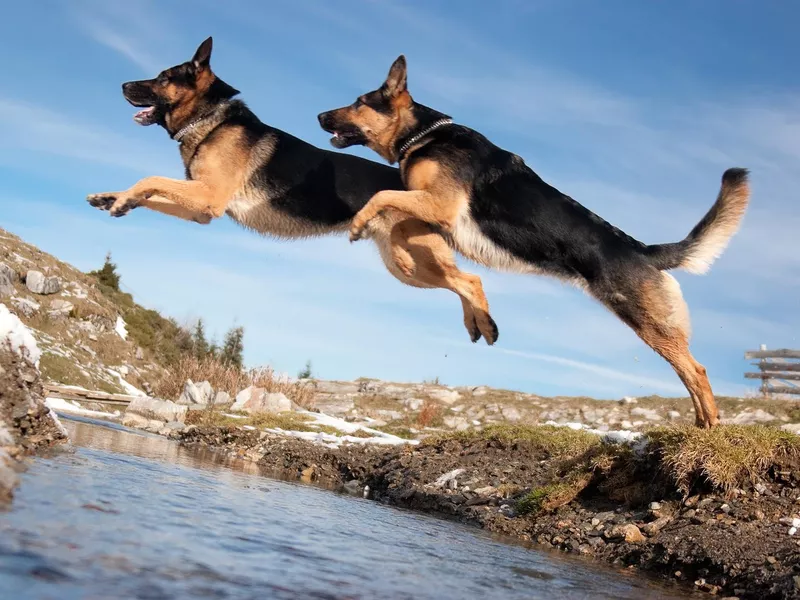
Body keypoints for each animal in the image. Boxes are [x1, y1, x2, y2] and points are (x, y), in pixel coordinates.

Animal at [87, 37, 500, 344]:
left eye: (161, 77)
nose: (122, 85)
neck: (211, 120)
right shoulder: (199, 207)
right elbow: (151, 192)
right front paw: (114, 199)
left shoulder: (209, 195)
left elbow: (149, 180)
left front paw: (122, 199)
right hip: (407, 268)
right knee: (460, 283)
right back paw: (476, 324)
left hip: (419, 259)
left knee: (470, 280)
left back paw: (485, 323)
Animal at [318, 52, 752, 426]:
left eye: (359, 101)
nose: (319, 114)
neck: (423, 135)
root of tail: (644, 251)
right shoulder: (436, 216)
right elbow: (401, 228)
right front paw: (423, 273)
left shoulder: (439, 205)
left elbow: (381, 198)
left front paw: (361, 226)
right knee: (687, 372)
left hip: (648, 322)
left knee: (696, 369)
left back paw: (710, 426)